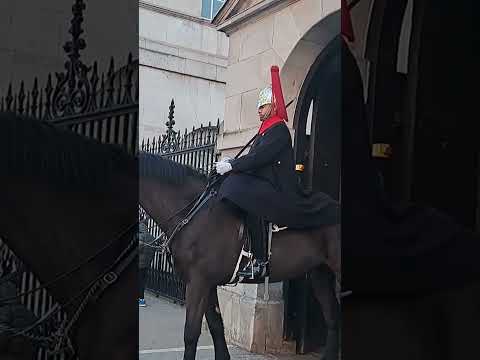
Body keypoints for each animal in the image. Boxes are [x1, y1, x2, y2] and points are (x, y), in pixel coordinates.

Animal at [139, 153, 342, 360]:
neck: (193, 214)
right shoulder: (207, 284)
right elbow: (216, 325)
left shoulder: (197, 283)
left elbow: (191, 333)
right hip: (320, 273)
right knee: (333, 317)